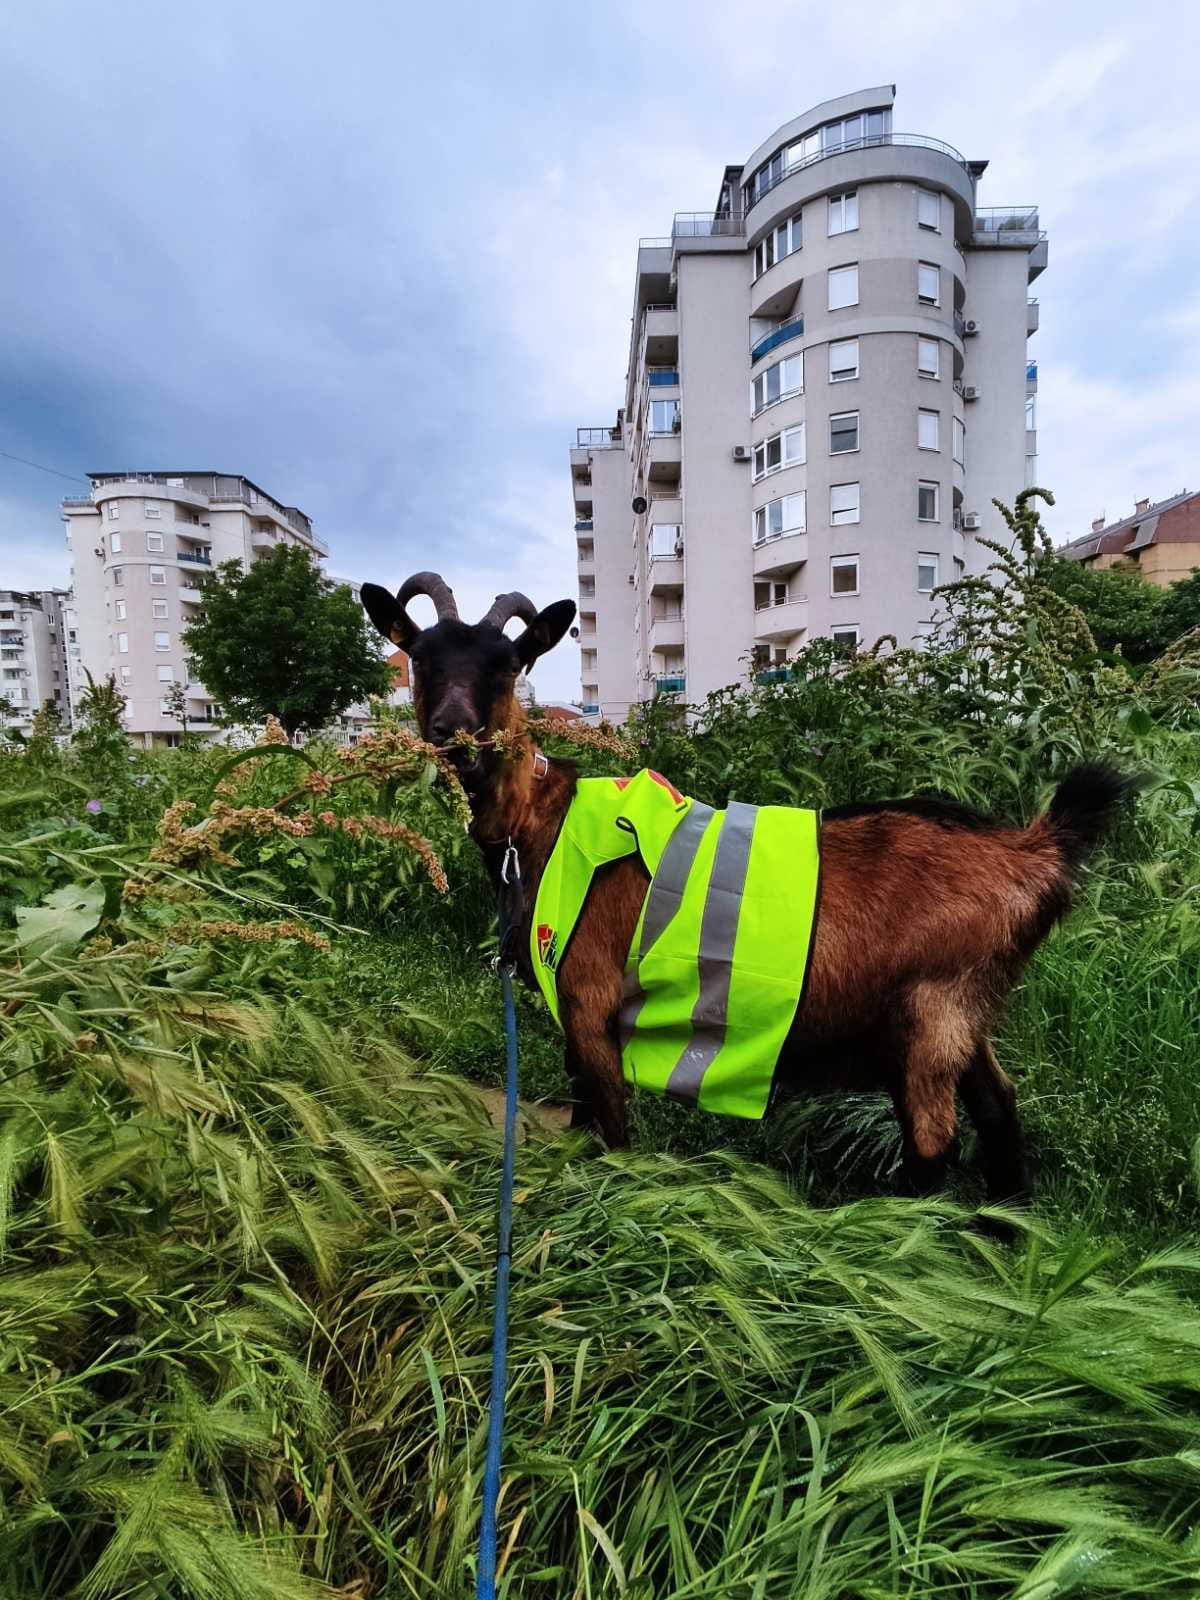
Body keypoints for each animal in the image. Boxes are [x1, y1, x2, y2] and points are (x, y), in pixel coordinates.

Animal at [360, 571, 1136, 1214]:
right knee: (1000, 1109)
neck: (538, 826)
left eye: (507, 665)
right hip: (967, 1014)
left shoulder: (588, 998)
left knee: (932, 1143)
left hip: (930, 1012)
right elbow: (582, 1117)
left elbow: (610, 1126)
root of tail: (1033, 850)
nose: (453, 734)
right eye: (422, 657)